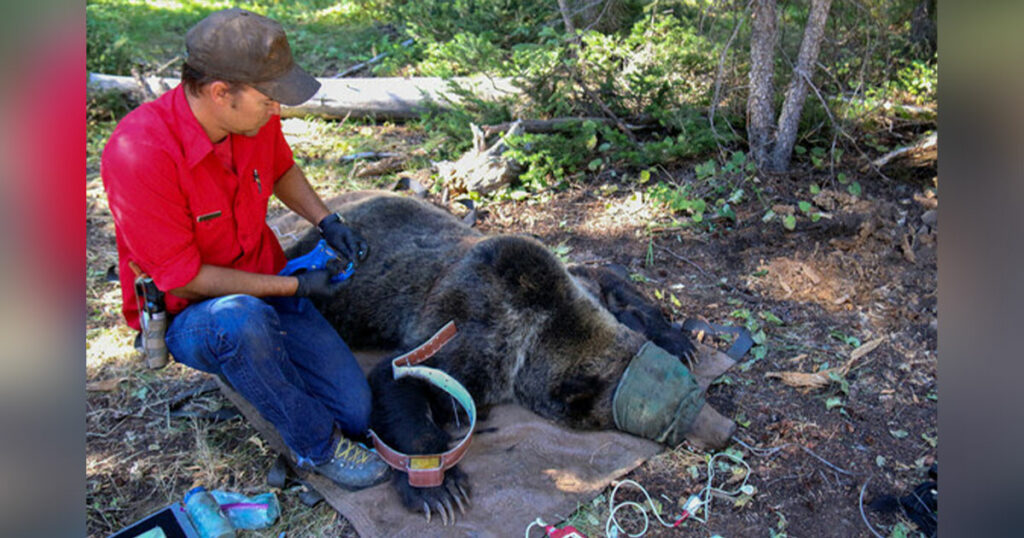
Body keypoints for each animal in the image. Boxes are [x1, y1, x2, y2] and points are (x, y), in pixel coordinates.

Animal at [286, 191, 735, 522]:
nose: (724, 429)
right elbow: (399, 379)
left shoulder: (576, 284)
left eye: (688, 390)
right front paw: (439, 489)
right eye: (665, 415)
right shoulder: (470, 338)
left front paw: (678, 340)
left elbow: (610, 279)